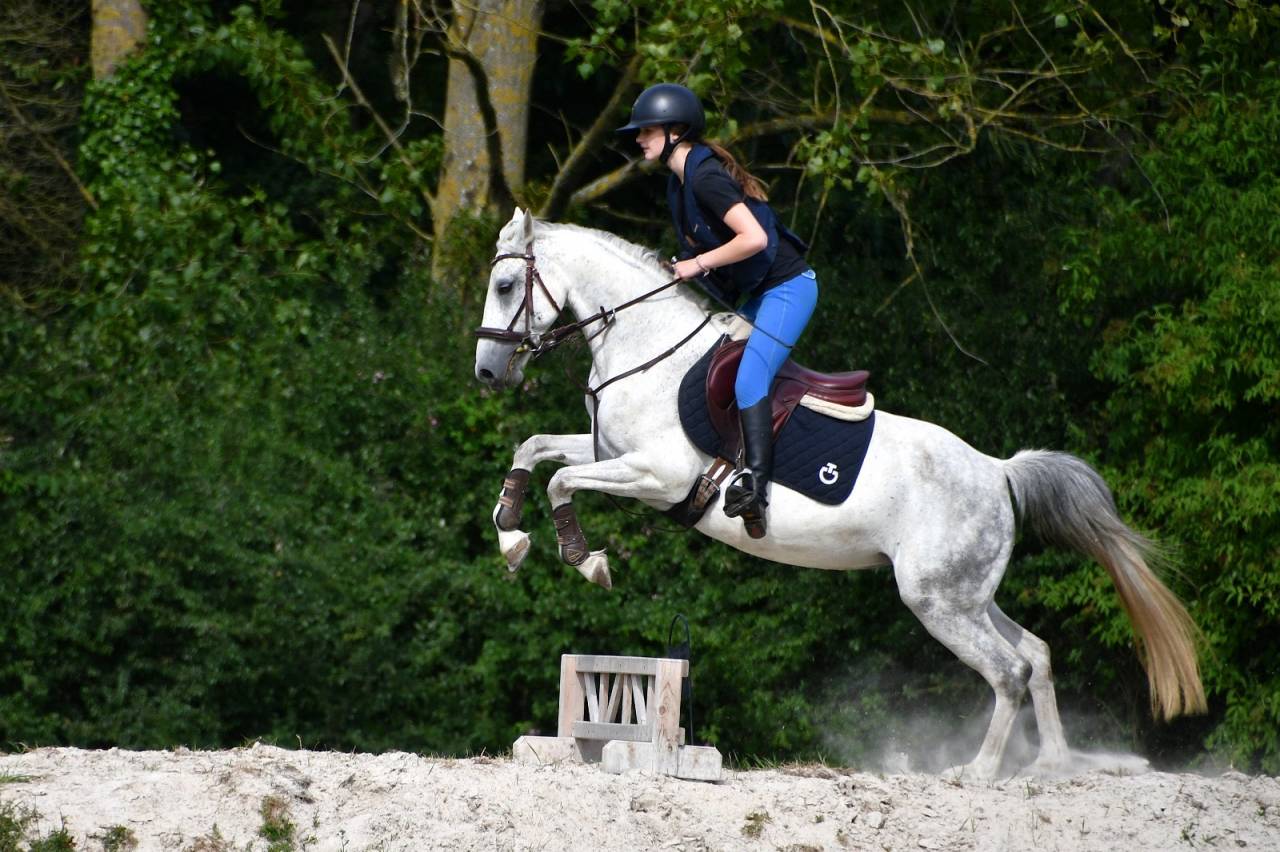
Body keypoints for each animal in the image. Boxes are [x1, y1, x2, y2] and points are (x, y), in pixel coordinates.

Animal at [472, 208, 1205, 779]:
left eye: (506, 284)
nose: (487, 373)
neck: (647, 347)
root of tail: (998, 470)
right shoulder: (610, 454)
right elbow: (533, 449)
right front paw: (510, 534)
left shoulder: (657, 475)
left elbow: (561, 479)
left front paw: (584, 560)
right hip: (965, 593)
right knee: (1037, 655)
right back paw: (1050, 766)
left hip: (936, 600)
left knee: (1009, 672)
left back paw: (976, 771)